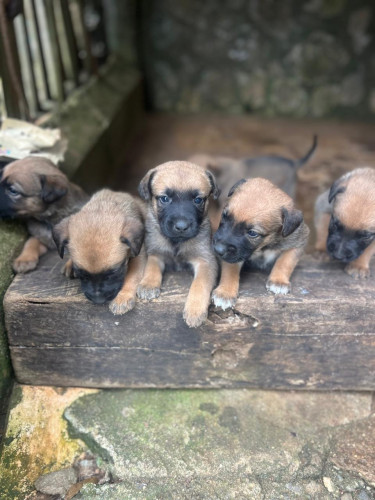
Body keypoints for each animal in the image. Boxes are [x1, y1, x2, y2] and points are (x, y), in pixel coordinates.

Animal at [137, 160, 220, 328]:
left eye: (198, 200)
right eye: (164, 199)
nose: (182, 227)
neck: (176, 242)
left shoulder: (205, 261)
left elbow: (199, 284)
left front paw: (194, 310)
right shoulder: (156, 253)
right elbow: (151, 267)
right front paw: (148, 284)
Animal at [213, 176, 310, 308]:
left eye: (252, 233)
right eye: (224, 215)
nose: (217, 249)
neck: (263, 247)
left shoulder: (298, 240)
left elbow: (285, 261)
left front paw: (278, 281)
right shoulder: (233, 256)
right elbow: (230, 270)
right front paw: (225, 292)